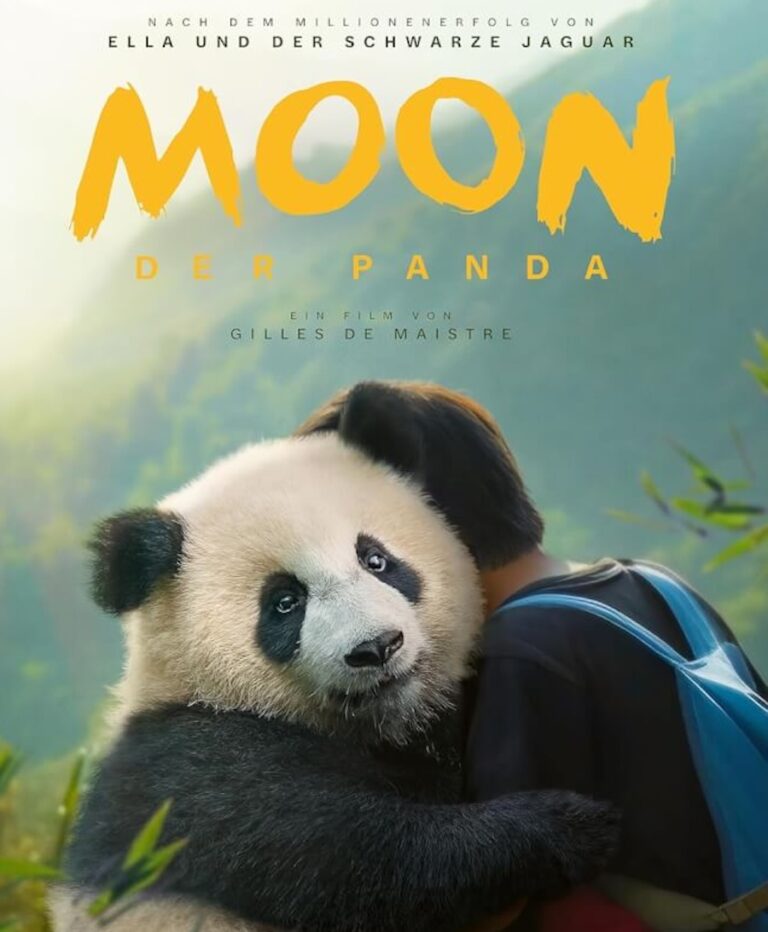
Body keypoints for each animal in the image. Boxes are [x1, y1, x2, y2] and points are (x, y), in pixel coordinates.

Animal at [51, 414, 617, 931]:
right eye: (284, 602)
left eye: (376, 559)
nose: (377, 647)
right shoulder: (189, 774)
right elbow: (354, 857)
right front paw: (567, 826)